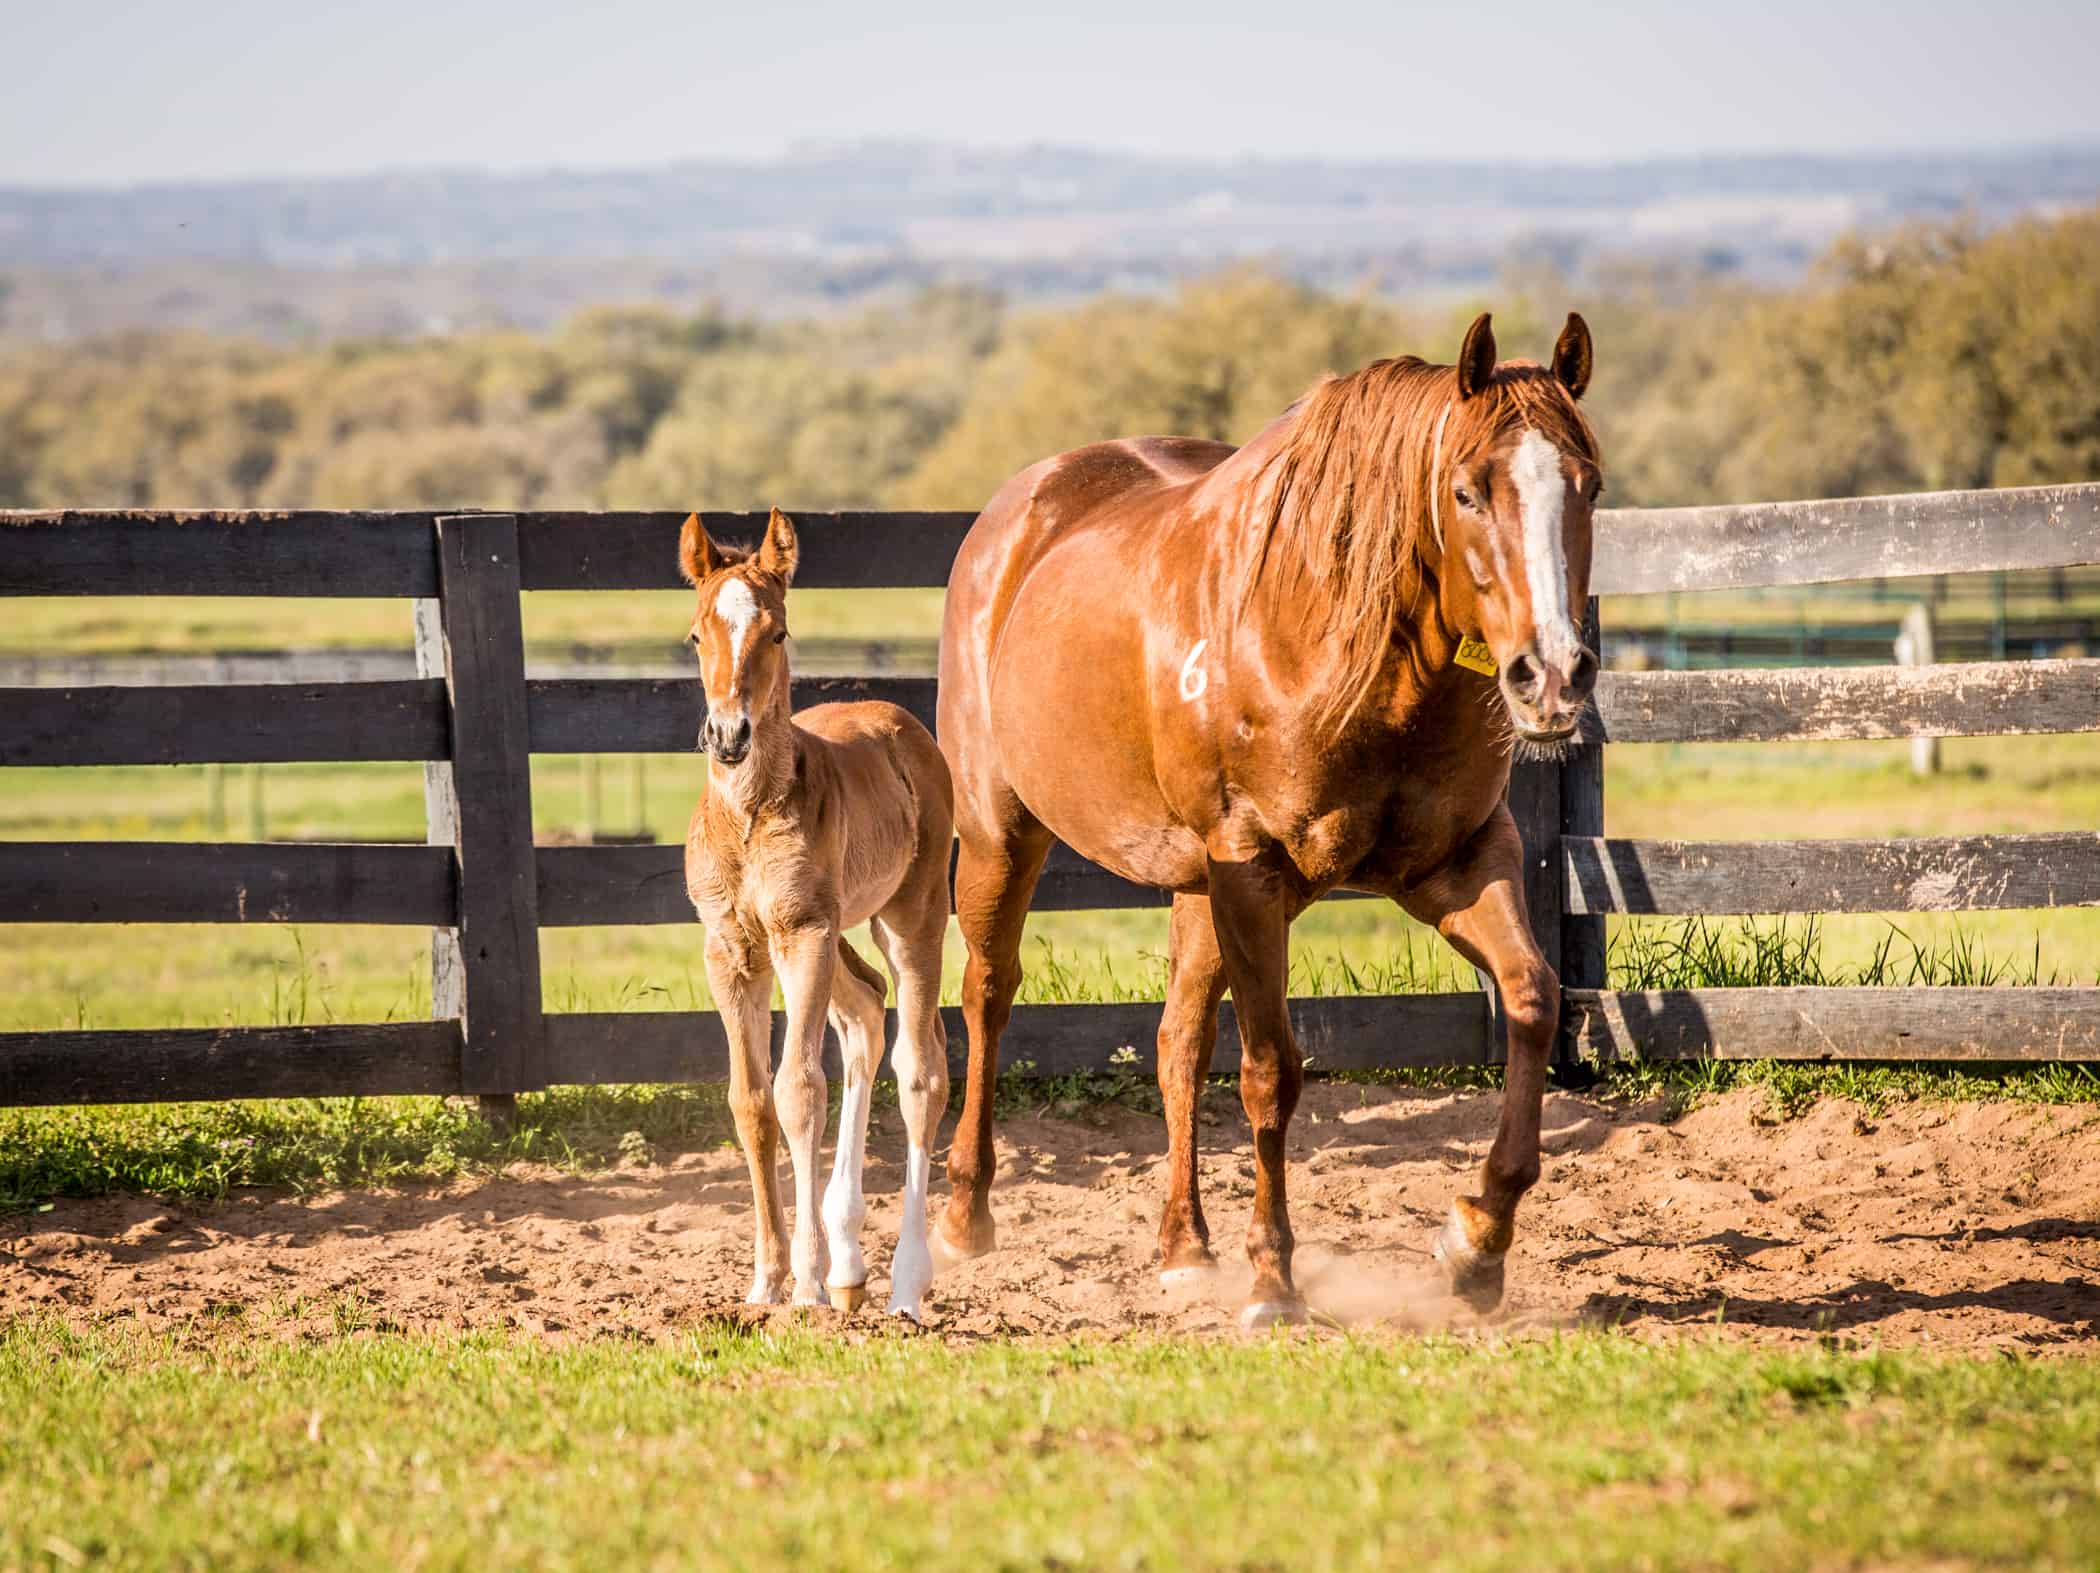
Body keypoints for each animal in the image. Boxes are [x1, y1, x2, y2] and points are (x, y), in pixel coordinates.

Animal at [680, 506, 953, 1310]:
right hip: (835, 937)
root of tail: (900, 722)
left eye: (777, 633)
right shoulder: (732, 950)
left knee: (921, 1067)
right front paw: (765, 1280)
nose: (729, 735)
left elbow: (797, 1090)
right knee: (863, 1007)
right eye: (697, 635)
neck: (747, 817)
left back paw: (902, 1282)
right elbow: (750, 1101)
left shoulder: (801, 932)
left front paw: (801, 1281)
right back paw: (849, 1263)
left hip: (909, 916)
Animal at [936, 312, 1604, 1318]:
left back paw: (1183, 1244)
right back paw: (964, 1214)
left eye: (1589, 484)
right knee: (988, 996)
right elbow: (1269, 1070)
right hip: (1000, 836)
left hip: (1192, 886)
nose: (1552, 674)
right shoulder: (1251, 871)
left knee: (1176, 1041)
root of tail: (1018, 513)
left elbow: (1532, 999)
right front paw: (1273, 1276)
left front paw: (1476, 1242)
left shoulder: (1458, 860)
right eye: (1466, 491)